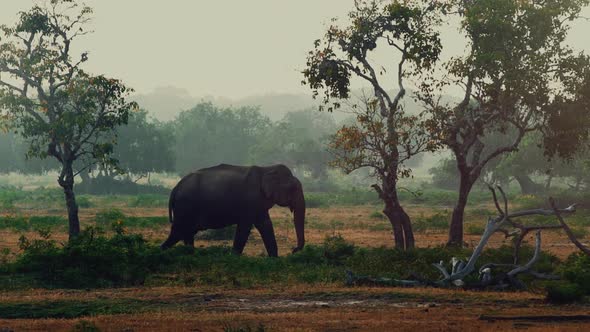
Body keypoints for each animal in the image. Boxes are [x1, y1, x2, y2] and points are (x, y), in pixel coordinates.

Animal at [164, 164, 308, 256]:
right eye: (293, 188)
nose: (293, 250)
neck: (267, 169)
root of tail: (175, 188)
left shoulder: (258, 203)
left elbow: (265, 224)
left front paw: (274, 259)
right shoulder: (250, 200)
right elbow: (245, 225)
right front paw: (233, 257)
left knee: (186, 232)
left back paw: (189, 255)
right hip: (185, 206)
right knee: (178, 231)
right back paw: (162, 252)